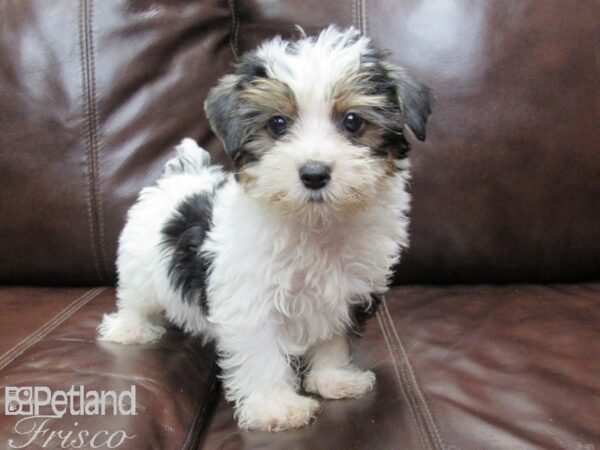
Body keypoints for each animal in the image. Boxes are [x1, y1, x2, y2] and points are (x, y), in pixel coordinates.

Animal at [101, 25, 434, 432]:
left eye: (353, 122)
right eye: (277, 124)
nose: (314, 174)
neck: (315, 225)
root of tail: (183, 174)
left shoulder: (344, 292)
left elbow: (332, 337)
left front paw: (333, 379)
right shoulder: (252, 299)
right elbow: (261, 353)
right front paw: (276, 406)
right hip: (139, 264)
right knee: (134, 297)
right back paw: (130, 329)